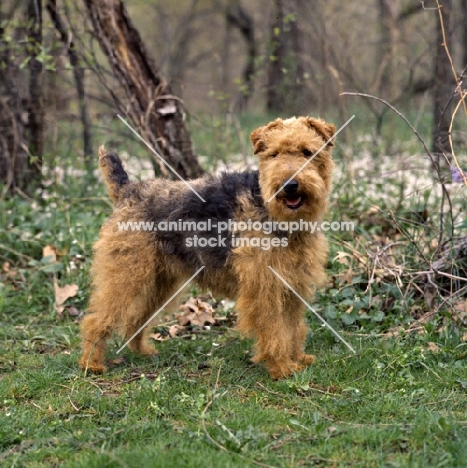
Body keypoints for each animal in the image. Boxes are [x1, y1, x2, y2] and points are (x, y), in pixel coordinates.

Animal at [80, 117, 336, 380]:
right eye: (274, 154)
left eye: (307, 152)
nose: (290, 185)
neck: (280, 217)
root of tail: (128, 189)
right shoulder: (263, 287)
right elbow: (274, 330)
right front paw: (282, 368)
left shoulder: (293, 283)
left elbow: (292, 327)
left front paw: (298, 359)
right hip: (125, 276)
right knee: (96, 319)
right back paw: (92, 364)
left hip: (159, 281)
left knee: (135, 319)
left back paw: (142, 351)